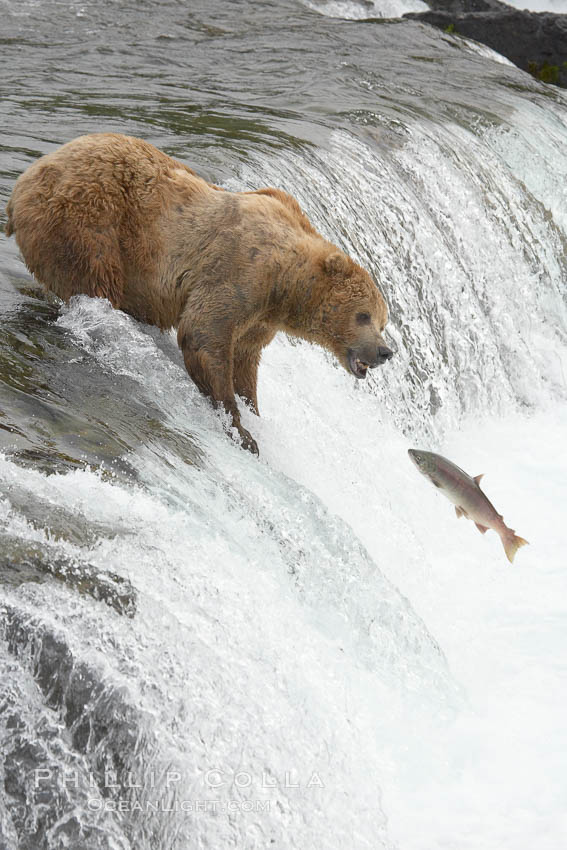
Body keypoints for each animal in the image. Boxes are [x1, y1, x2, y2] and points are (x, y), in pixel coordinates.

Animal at [5, 134, 394, 450]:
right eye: (363, 315)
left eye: (382, 321)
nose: (384, 351)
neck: (286, 286)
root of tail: (24, 180)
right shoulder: (240, 271)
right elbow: (204, 335)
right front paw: (243, 431)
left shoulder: (259, 318)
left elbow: (244, 360)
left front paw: (252, 409)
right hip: (86, 221)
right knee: (93, 278)